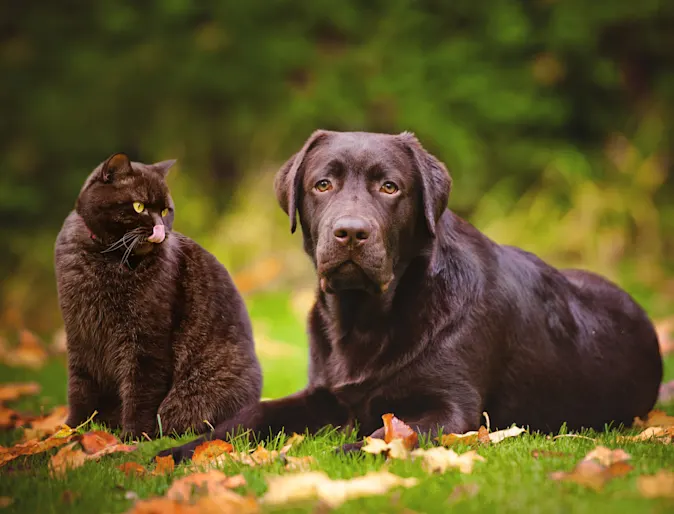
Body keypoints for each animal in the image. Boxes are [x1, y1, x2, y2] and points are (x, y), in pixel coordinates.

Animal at [55, 152, 262, 436]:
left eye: (165, 210)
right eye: (139, 207)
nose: (159, 227)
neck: (105, 258)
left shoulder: (145, 341)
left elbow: (141, 392)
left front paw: (132, 438)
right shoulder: (79, 336)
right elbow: (79, 389)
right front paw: (72, 431)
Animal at [160, 129, 660, 460]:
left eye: (390, 187)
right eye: (322, 184)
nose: (351, 232)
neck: (364, 319)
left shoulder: (452, 411)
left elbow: (381, 437)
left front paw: (308, 459)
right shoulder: (322, 394)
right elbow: (252, 416)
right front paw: (179, 451)